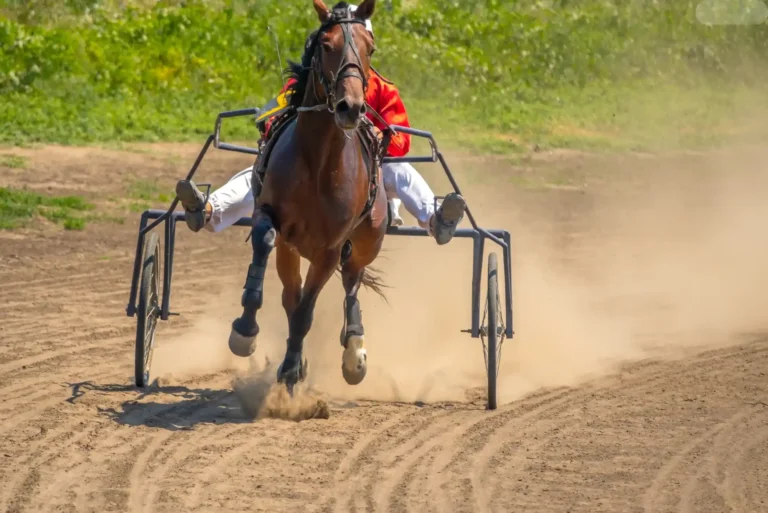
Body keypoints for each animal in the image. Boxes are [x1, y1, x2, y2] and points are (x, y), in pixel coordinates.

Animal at [227, 0, 389, 392]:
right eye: (326, 45)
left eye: (370, 48)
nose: (351, 107)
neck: (318, 164)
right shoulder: (270, 215)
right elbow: (265, 243)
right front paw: (245, 330)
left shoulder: (330, 249)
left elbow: (307, 312)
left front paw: (290, 369)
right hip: (293, 248)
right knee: (292, 294)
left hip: (368, 239)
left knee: (352, 281)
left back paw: (353, 351)